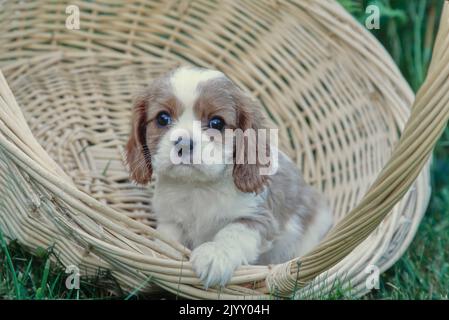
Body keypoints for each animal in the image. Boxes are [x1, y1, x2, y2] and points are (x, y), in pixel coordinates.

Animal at [124, 65, 330, 288]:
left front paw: (215, 255)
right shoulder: (170, 221)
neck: (197, 187)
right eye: (163, 118)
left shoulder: (258, 218)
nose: (184, 143)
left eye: (217, 122)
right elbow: (168, 241)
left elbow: (232, 233)